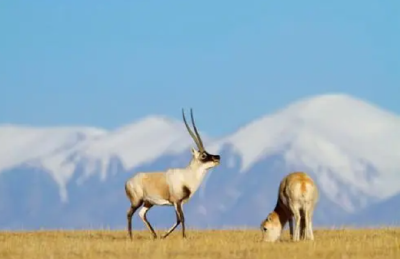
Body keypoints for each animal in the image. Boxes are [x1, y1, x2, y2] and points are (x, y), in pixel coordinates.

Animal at [124, 108, 220, 241]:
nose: (218, 157)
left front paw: (164, 235)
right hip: (137, 201)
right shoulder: (177, 202)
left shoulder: (181, 203)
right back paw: (130, 236)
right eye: (203, 155)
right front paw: (183, 237)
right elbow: (181, 218)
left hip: (148, 203)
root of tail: (128, 182)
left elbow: (179, 219)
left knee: (141, 214)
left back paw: (155, 235)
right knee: (129, 214)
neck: (187, 176)